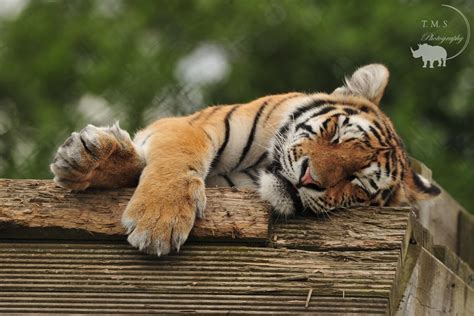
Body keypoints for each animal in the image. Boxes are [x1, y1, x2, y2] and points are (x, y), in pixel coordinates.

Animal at [50, 63, 438, 256]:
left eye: (356, 181)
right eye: (335, 134)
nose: (309, 179)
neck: (258, 163)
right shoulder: (189, 125)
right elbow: (177, 159)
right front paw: (157, 221)